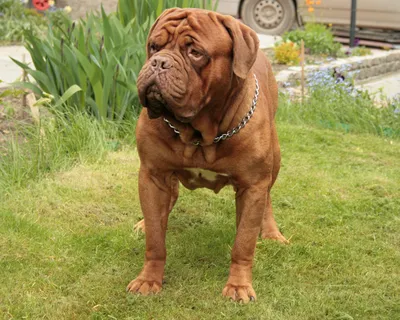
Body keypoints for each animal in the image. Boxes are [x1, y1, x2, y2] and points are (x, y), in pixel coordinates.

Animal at [126, 7, 286, 302]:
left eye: (195, 52)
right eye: (154, 46)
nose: (158, 63)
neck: (200, 134)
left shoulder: (252, 186)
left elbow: (243, 242)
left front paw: (239, 286)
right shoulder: (153, 175)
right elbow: (155, 239)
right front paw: (148, 279)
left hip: (274, 162)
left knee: (268, 198)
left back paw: (270, 233)